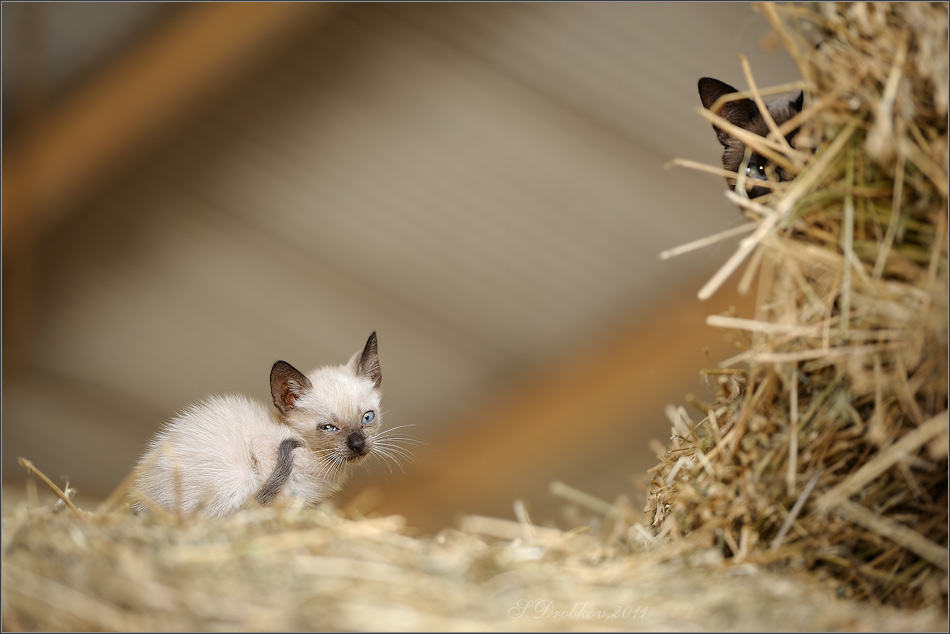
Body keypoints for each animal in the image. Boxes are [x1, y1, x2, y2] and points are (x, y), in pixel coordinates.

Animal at [132, 330, 384, 512]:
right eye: (328, 428)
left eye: (368, 417)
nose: (358, 444)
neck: (325, 465)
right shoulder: (263, 447)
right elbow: (282, 497)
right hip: (240, 479)